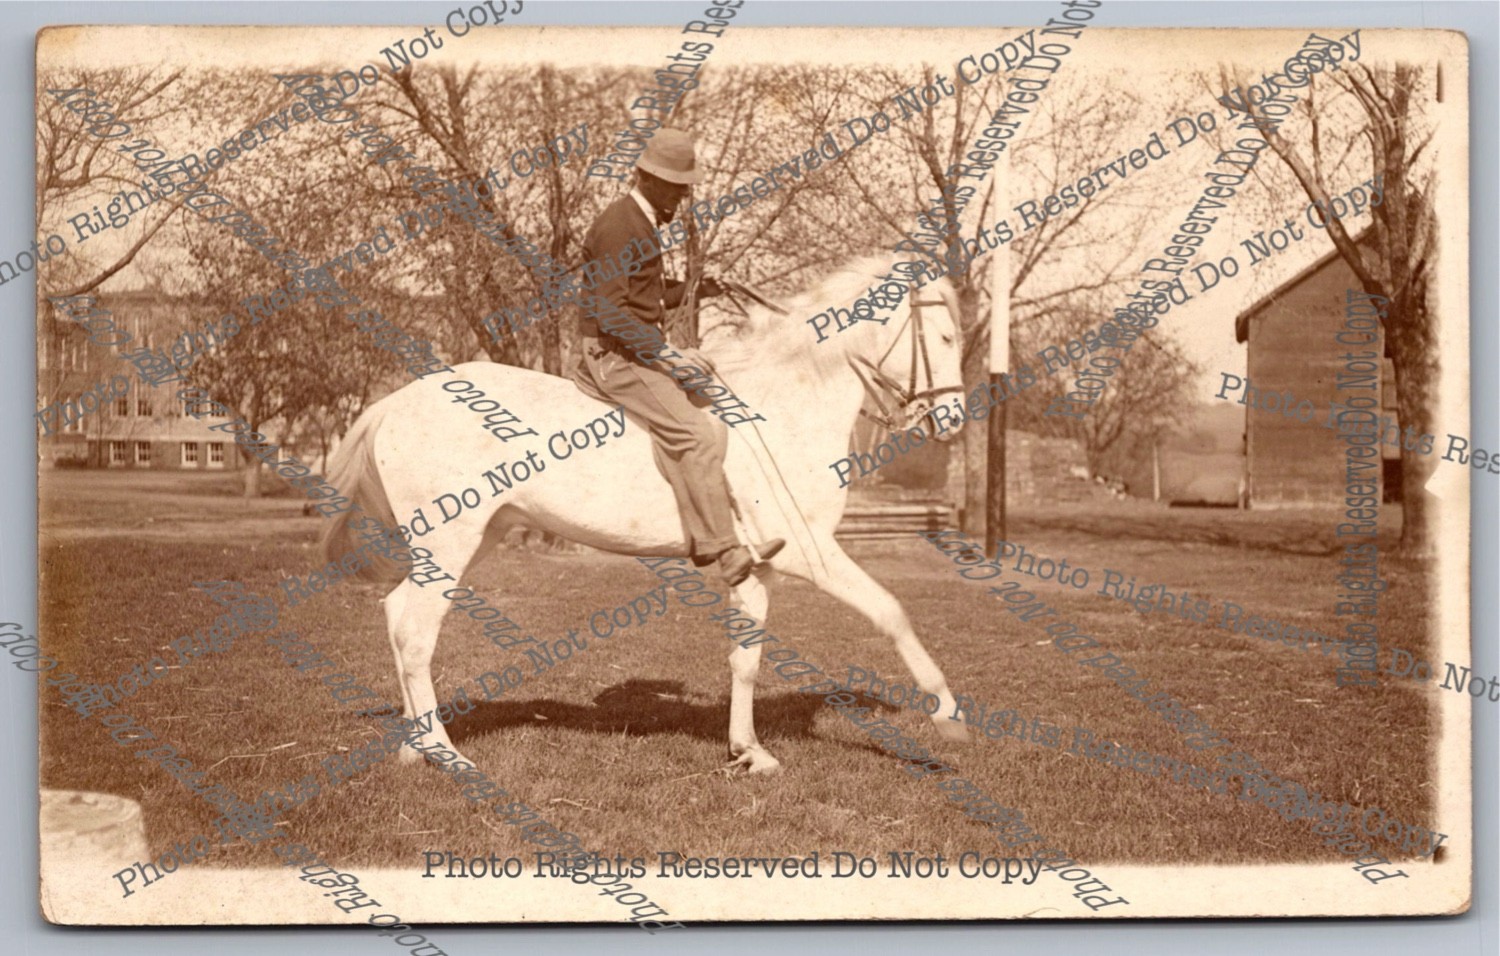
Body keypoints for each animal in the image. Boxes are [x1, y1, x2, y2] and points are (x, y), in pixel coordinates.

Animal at [321, 255, 971, 775]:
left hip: (473, 539)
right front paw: (948, 715)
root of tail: (396, 401)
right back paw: (445, 753)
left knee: (397, 614)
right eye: (943, 338)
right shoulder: (814, 554)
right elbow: (891, 612)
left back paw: (415, 747)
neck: (782, 408)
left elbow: (746, 660)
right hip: (451, 542)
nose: (955, 419)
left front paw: (749, 752)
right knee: (416, 632)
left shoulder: (757, 567)